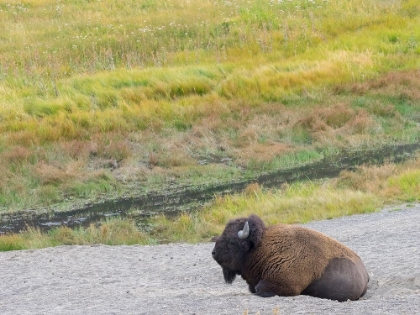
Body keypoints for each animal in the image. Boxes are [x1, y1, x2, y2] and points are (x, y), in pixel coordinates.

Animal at [212, 215, 370, 302]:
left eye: (232, 241)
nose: (213, 253)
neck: (262, 248)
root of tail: (365, 273)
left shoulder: (284, 284)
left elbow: (259, 289)